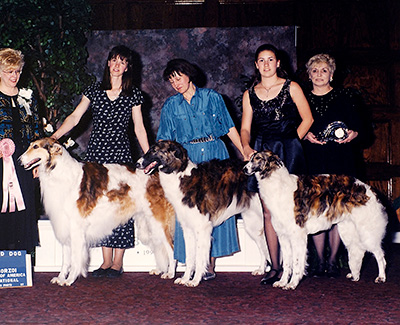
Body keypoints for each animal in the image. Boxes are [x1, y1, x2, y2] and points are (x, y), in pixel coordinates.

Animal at [19, 138, 175, 284]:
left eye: (35, 146)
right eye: (31, 145)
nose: (19, 160)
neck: (59, 172)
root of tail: (157, 173)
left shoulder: (76, 227)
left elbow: (75, 258)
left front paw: (70, 279)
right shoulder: (64, 225)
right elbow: (65, 260)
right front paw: (61, 278)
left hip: (159, 221)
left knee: (171, 248)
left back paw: (170, 273)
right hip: (150, 223)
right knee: (160, 246)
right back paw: (160, 270)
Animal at [134, 139, 268, 286]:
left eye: (154, 150)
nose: (137, 163)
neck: (180, 175)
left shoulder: (202, 228)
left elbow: (198, 257)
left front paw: (194, 280)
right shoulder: (187, 228)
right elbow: (189, 257)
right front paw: (185, 278)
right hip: (253, 223)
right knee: (264, 247)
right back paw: (261, 270)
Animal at [244, 149, 388, 288]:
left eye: (258, 158)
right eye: (251, 158)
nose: (244, 169)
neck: (278, 184)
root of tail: (368, 189)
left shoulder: (297, 235)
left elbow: (297, 263)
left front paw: (292, 284)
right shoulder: (283, 236)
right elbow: (287, 264)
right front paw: (282, 281)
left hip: (367, 231)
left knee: (380, 255)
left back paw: (381, 277)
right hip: (348, 231)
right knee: (359, 251)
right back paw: (355, 275)